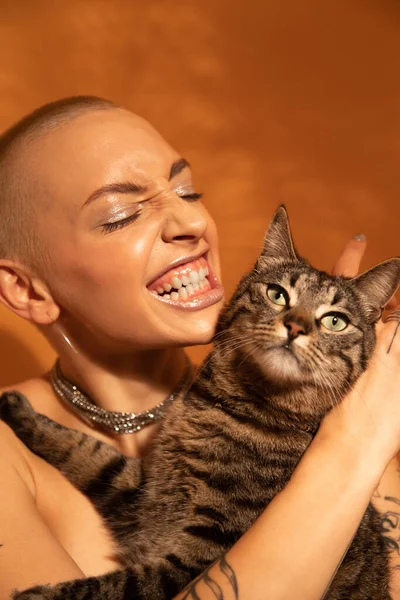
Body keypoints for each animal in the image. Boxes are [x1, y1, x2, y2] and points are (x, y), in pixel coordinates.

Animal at [1, 207, 398, 600]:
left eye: (335, 321)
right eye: (277, 294)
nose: (296, 326)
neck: (226, 410)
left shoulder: (201, 554)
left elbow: (115, 586)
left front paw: (40, 595)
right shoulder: (142, 490)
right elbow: (87, 451)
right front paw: (20, 412)